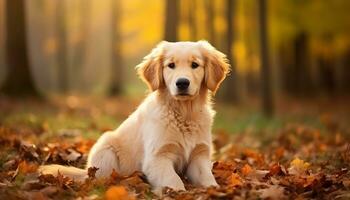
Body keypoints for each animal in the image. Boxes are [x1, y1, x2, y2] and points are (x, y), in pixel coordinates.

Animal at [39, 40, 230, 191]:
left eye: (195, 65)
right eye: (171, 65)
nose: (182, 83)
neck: (184, 113)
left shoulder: (199, 155)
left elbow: (208, 178)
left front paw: (214, 189)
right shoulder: (157, 157)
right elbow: (173, 180)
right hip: (106, 150)